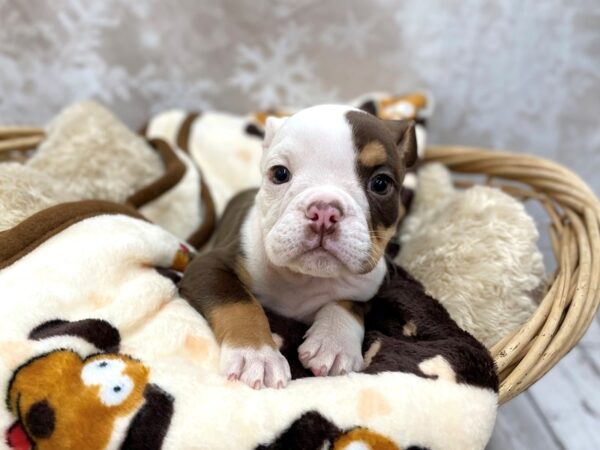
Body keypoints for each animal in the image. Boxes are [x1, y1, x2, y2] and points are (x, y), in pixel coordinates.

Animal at [180, 104, 414, 386]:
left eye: (380, 183)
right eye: (280, 174)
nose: (324, 211)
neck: (305, 277)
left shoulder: (367, 288)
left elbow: (348, 305)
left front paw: (334, 342)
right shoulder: (207, 267)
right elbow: (238, 302)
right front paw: (257, 354)